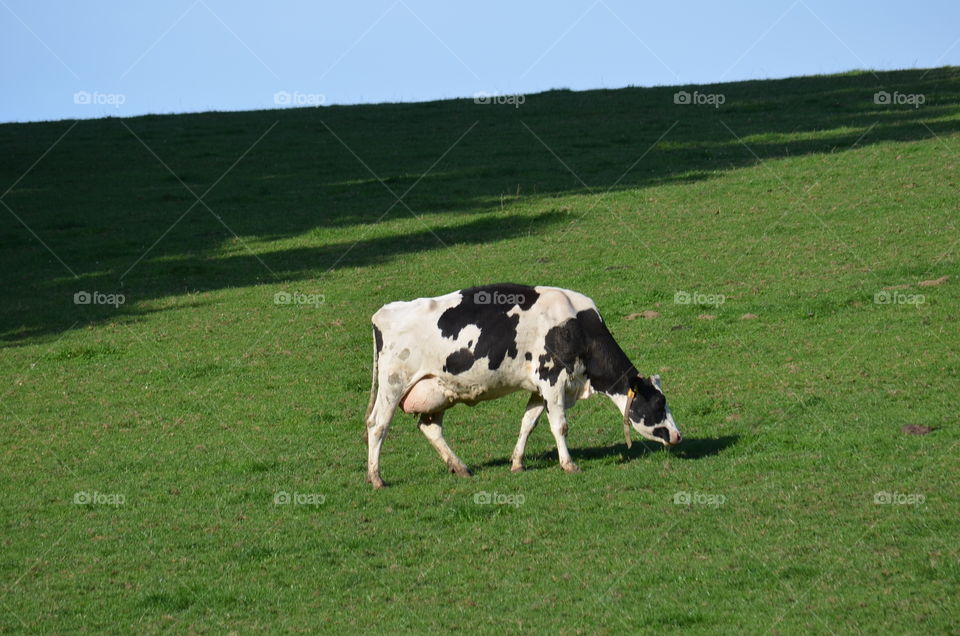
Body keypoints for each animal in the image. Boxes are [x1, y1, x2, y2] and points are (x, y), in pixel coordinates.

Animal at [364, 283, 681, 488]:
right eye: (658, 404)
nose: (678, 435)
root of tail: (384, 312)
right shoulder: (552, 378)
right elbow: (560, 426)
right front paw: (569, 464)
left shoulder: (540, 387)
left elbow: (528, 423)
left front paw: (517, 463)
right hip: (393, 384)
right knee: (377, 424)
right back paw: (377, 478)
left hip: (437, 390)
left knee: (429, 428)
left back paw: (460, 467)